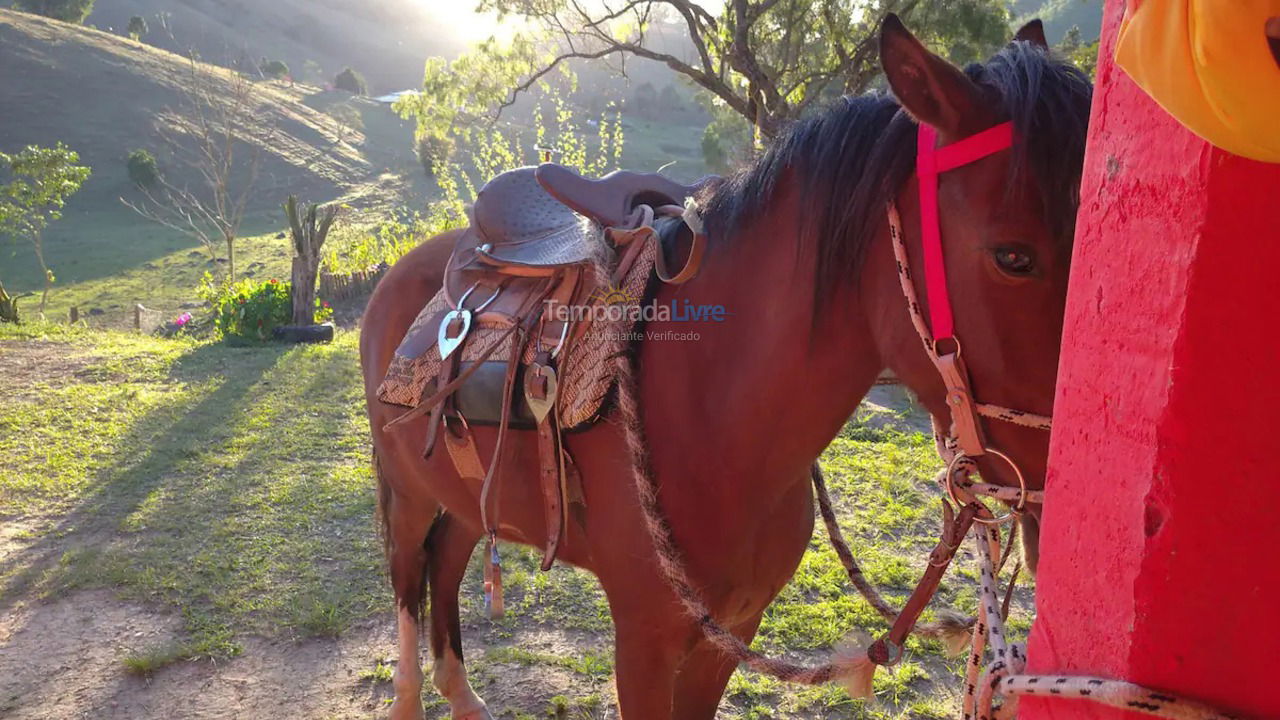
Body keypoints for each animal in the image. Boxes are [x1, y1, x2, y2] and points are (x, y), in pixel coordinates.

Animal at [358, 16, 1090, 717]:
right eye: (1012, 256)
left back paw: (462, 696)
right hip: (407, 492)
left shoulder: (731, 633)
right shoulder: (645, 643)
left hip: (461, 496)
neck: (716, 418)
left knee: (446, 564)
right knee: (406, 578)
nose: (1057, 521)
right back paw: (408, 701)